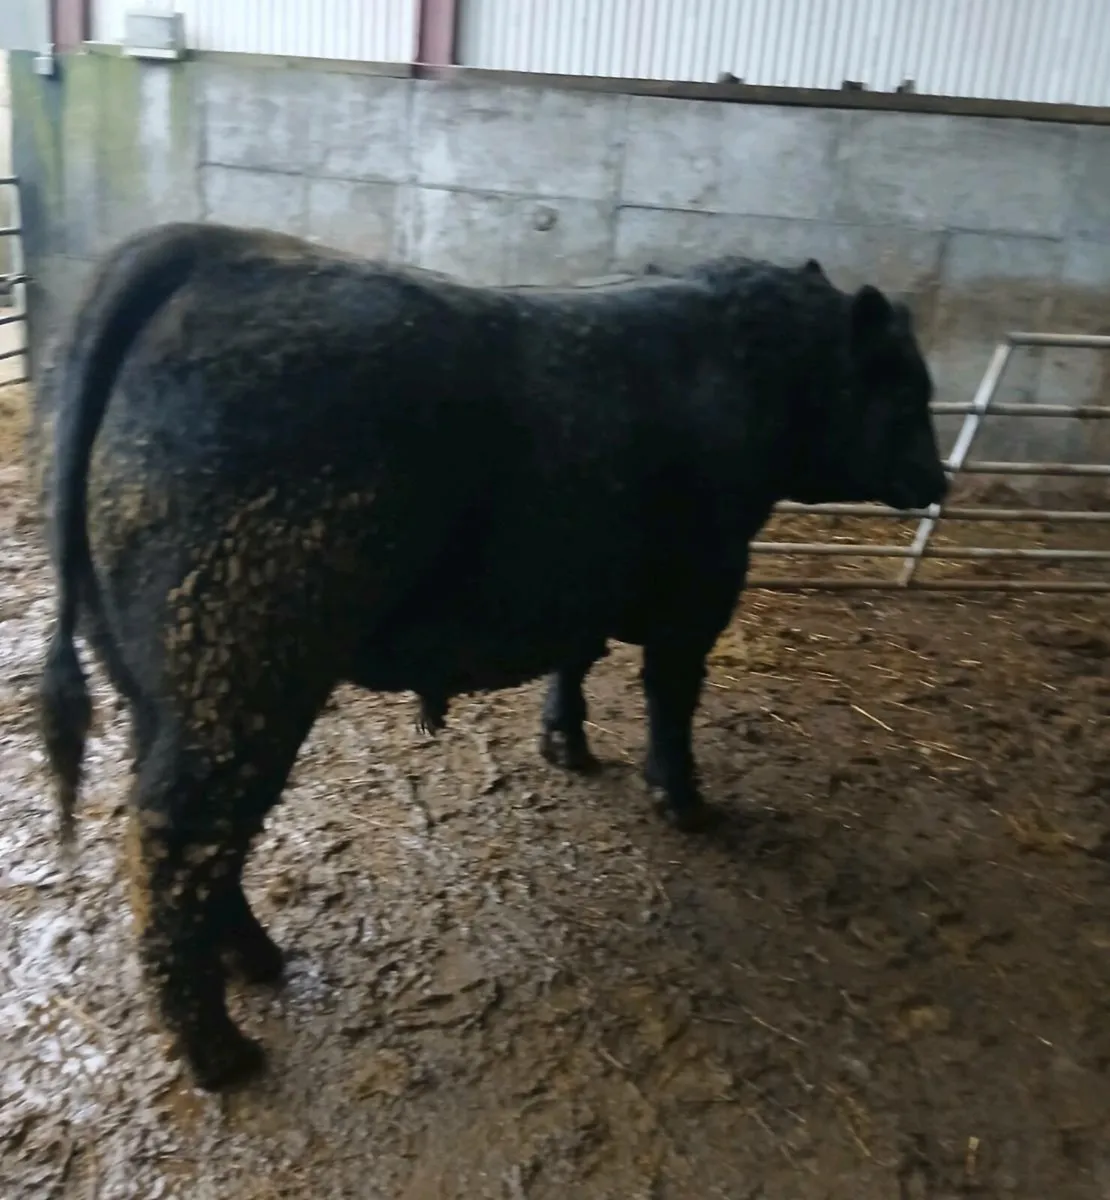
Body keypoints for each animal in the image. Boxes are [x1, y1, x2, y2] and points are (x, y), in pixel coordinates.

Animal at [34, 221, 948, 1091]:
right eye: (907, 388)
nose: (941, 481)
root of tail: (209, 247)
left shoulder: (581, 580)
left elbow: (576, 660)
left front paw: (566, 745)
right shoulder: (703, 587)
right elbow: (671, 697)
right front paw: (683, 801)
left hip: (155, 682)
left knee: (185, 828)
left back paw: (257, 961)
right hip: (240, 669)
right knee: (179, 839)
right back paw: (219, 1052)